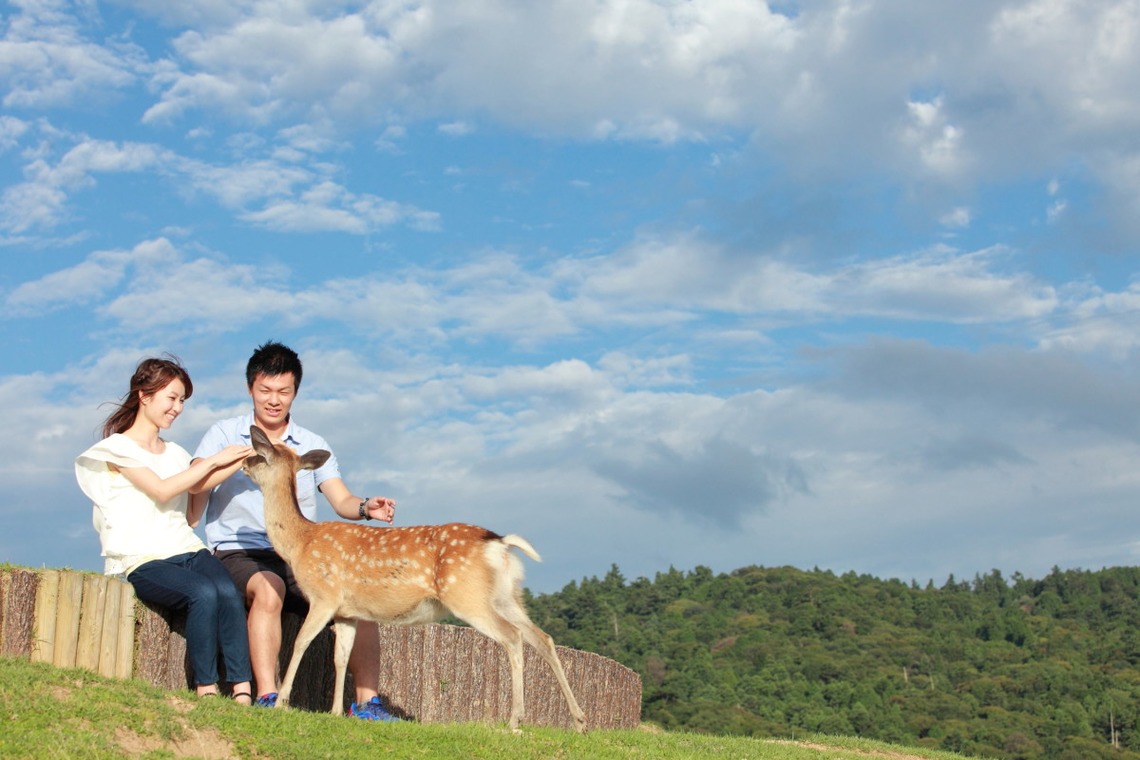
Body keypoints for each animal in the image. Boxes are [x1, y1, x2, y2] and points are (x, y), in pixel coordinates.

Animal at [241, 426, 588, 733]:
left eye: (258, 456)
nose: (243, 464)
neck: (300, 543)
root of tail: (499, 544)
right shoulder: (346, 612)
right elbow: (341, 658)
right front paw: (336, 712)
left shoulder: (324, 596)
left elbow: (300, 642)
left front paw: (282, 702)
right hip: (507, 595)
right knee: (542, 638)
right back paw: (580, 721)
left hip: (467, 594)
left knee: (513, 637)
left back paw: (516, 721)